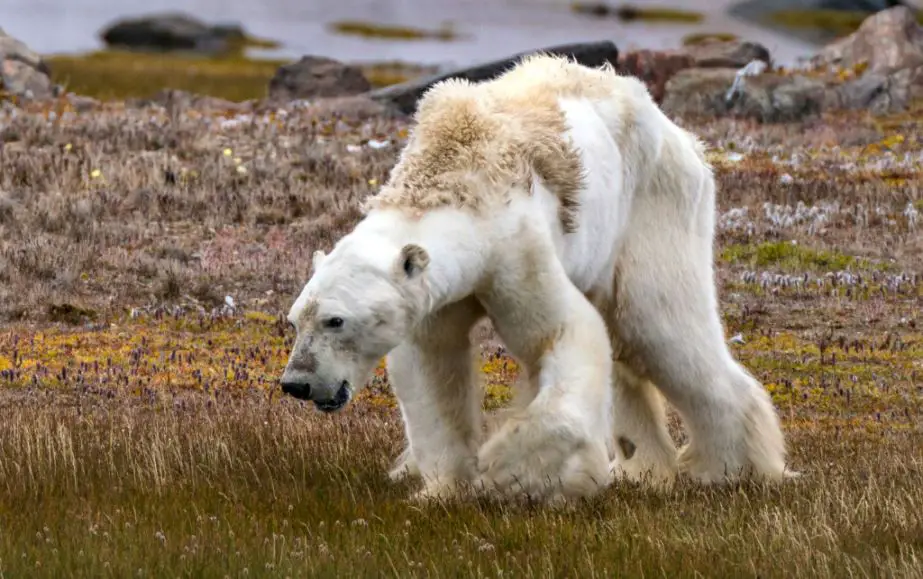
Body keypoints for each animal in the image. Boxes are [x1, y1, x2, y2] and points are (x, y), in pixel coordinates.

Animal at [279, 53, 794, 502]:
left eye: (336, 320)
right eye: (295, 319)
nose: (296, 383)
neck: (452, 178)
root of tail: (681, 135)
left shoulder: (514, 249)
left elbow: (563, 333)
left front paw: (510, 471)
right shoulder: (434, 295)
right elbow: (432, 366)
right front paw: (442, 488)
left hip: (652, 206)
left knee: (659, 326)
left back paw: (730, 468)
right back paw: (645, 468)